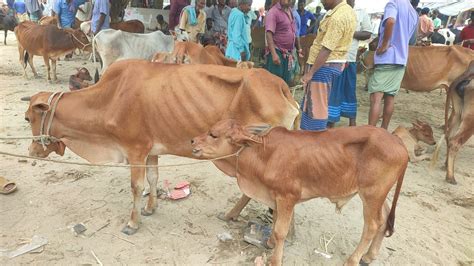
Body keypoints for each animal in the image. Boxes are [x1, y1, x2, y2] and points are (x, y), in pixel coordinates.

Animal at [24, 59, 298, 235]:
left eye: (28, 118)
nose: (32, 151)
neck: (109, 97)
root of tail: (282, 87)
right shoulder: (151, 150)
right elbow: (153, 179)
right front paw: (150, 208)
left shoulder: (135, 149)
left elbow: (136, 187)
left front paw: (132, 223)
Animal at [191, 120, 410, 266]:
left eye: (213, 134)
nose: (192, 141)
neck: (263, 154)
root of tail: (398, 141)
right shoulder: (276, 197)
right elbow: (276, 221)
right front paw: (269, 243)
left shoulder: (287, 196)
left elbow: (281, 230)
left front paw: (275, 259)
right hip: (378, 195)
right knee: (384, 221)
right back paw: (369, 256)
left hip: (372, 194)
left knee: (372, 225)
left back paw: (353, 259)